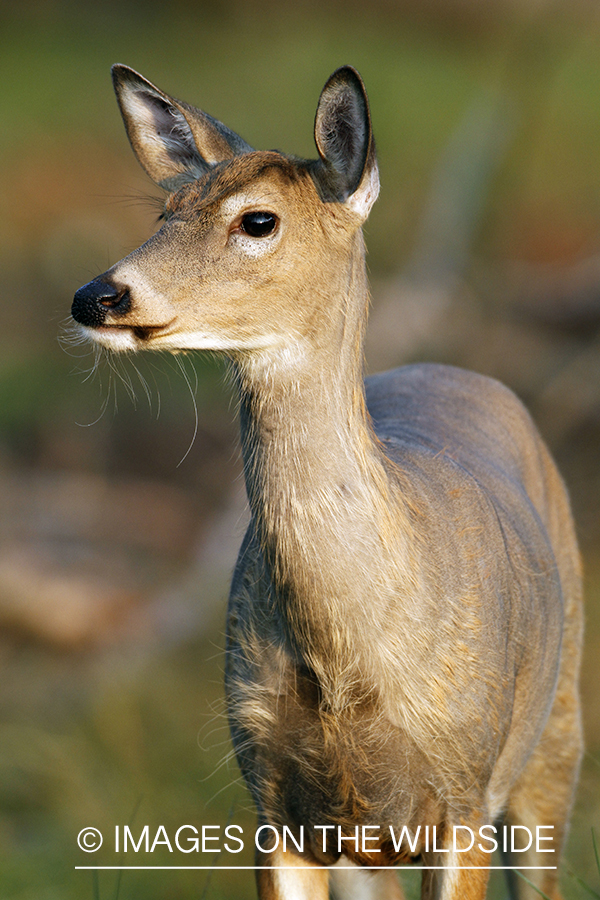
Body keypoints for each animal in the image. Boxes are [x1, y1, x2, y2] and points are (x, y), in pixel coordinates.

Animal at [69, 65, 580, 900]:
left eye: (258, 221)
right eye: (166, 210)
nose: (98, 296)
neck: (348, 668)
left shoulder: (464, 797)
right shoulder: (275, 802)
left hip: (556, 730)